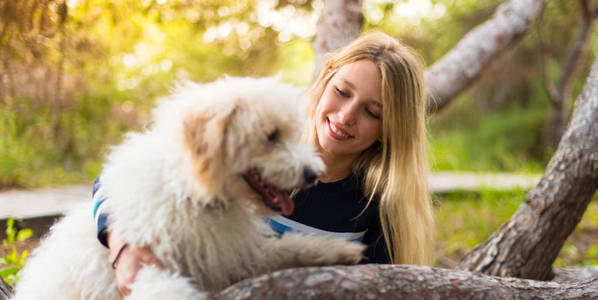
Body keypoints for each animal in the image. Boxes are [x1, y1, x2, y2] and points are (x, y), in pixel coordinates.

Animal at [12, 78, 366, 300]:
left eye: (290, 133)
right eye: (270, 136)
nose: (313, 174)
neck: (192, 193)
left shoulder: (232, 255)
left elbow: (291, 246)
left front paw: (338, 250)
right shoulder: (147, 269)